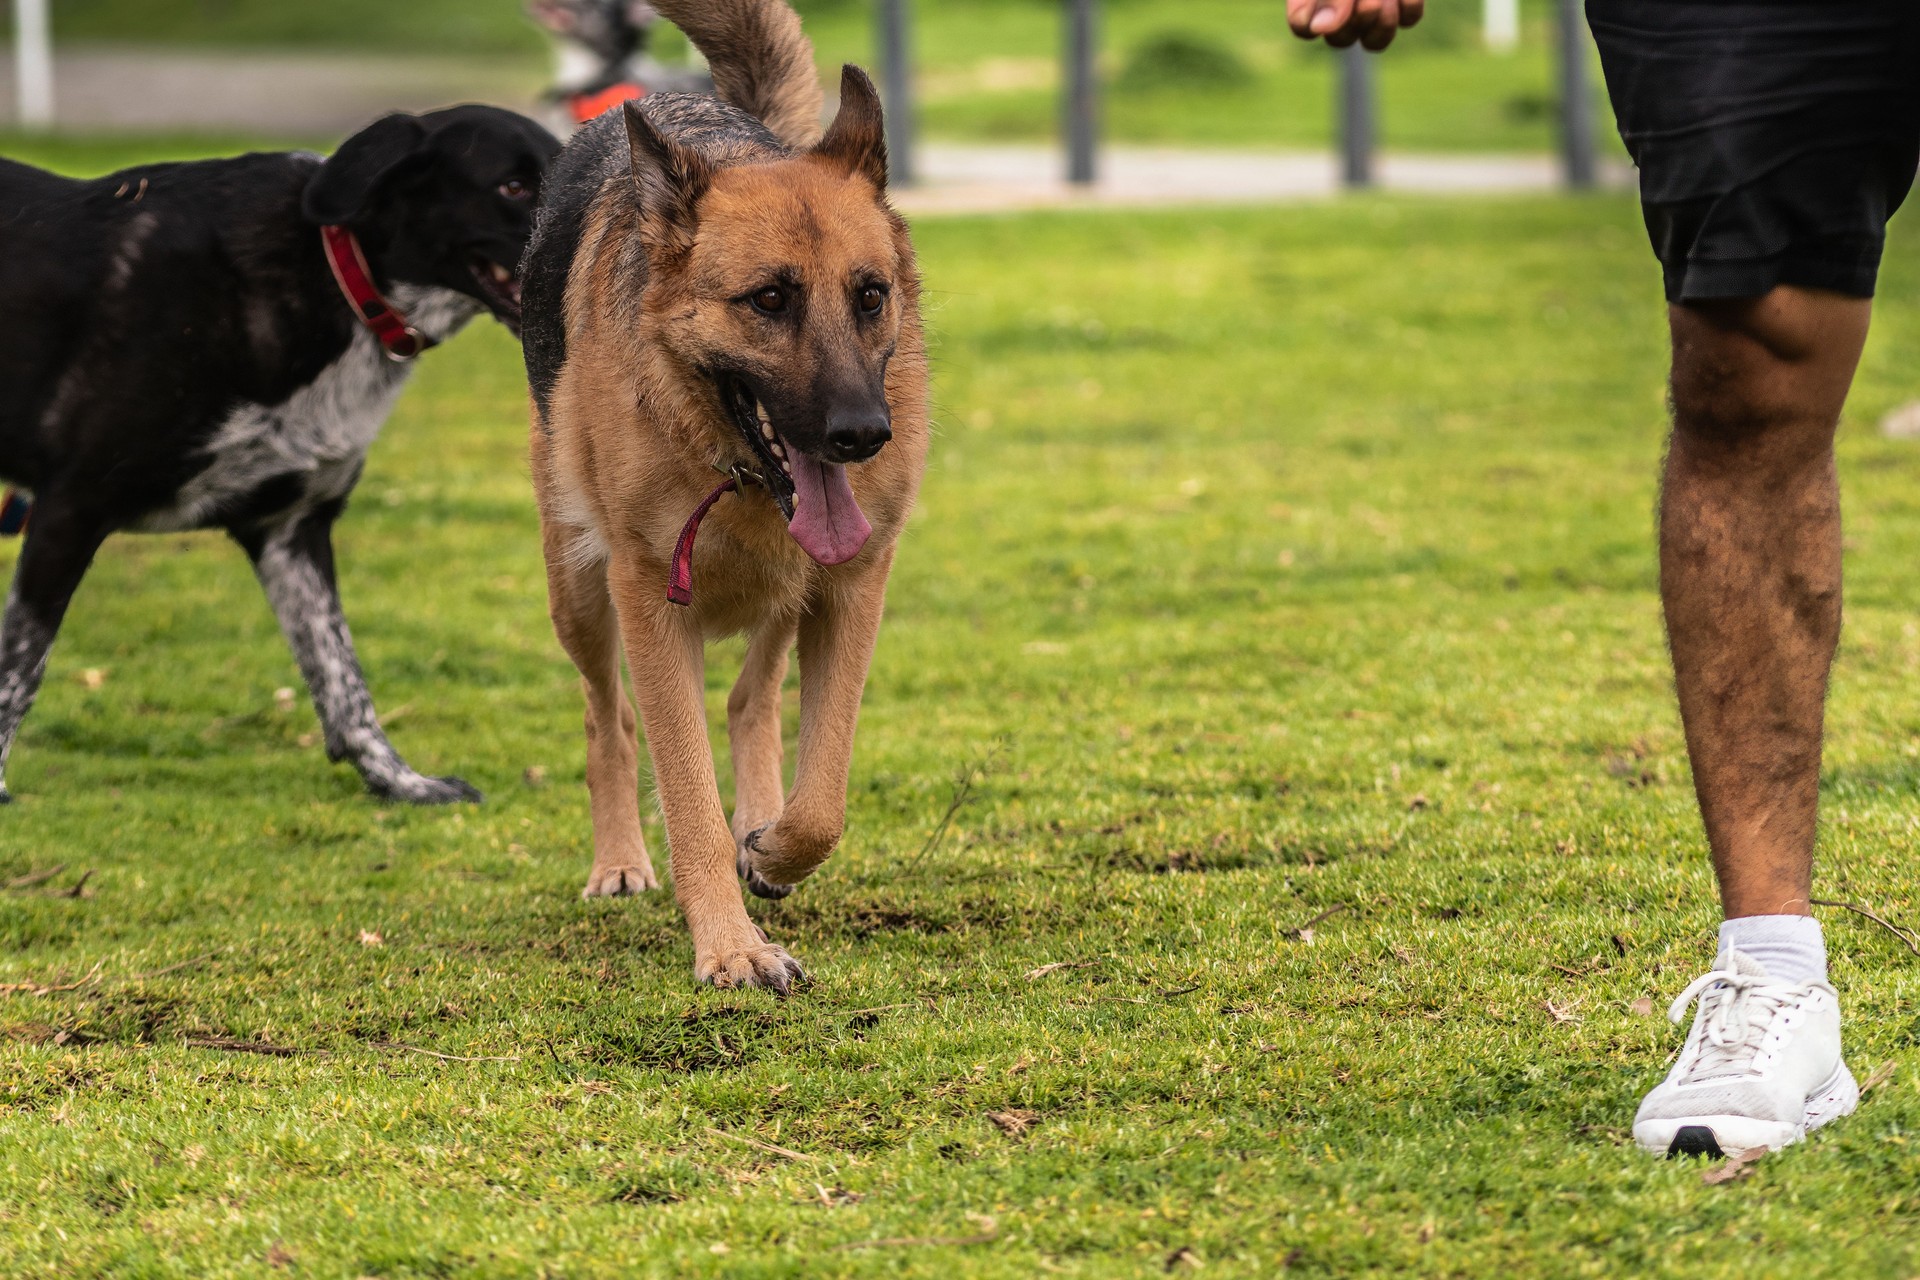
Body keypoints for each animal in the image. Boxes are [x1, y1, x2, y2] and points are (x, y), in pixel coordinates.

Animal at [0, 107, 560, 802]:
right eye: (513, 187)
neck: (338, 278)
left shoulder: (288, 530)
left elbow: (342, 676)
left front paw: (400, 782)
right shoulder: (69, 509)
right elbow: (20, 673)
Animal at [518, 0, 921, 990]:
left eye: (870, 296)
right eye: (768, 300)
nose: (863, 434)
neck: (735, 471)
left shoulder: (853, 585)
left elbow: (825, 792)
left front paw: (773, 849)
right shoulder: (649, 604)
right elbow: (685, 790)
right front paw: (732, 947)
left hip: (790, 592)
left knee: (753, 699)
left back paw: (759, 822)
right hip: (577, 594)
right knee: (608, 720)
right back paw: (621, 861)